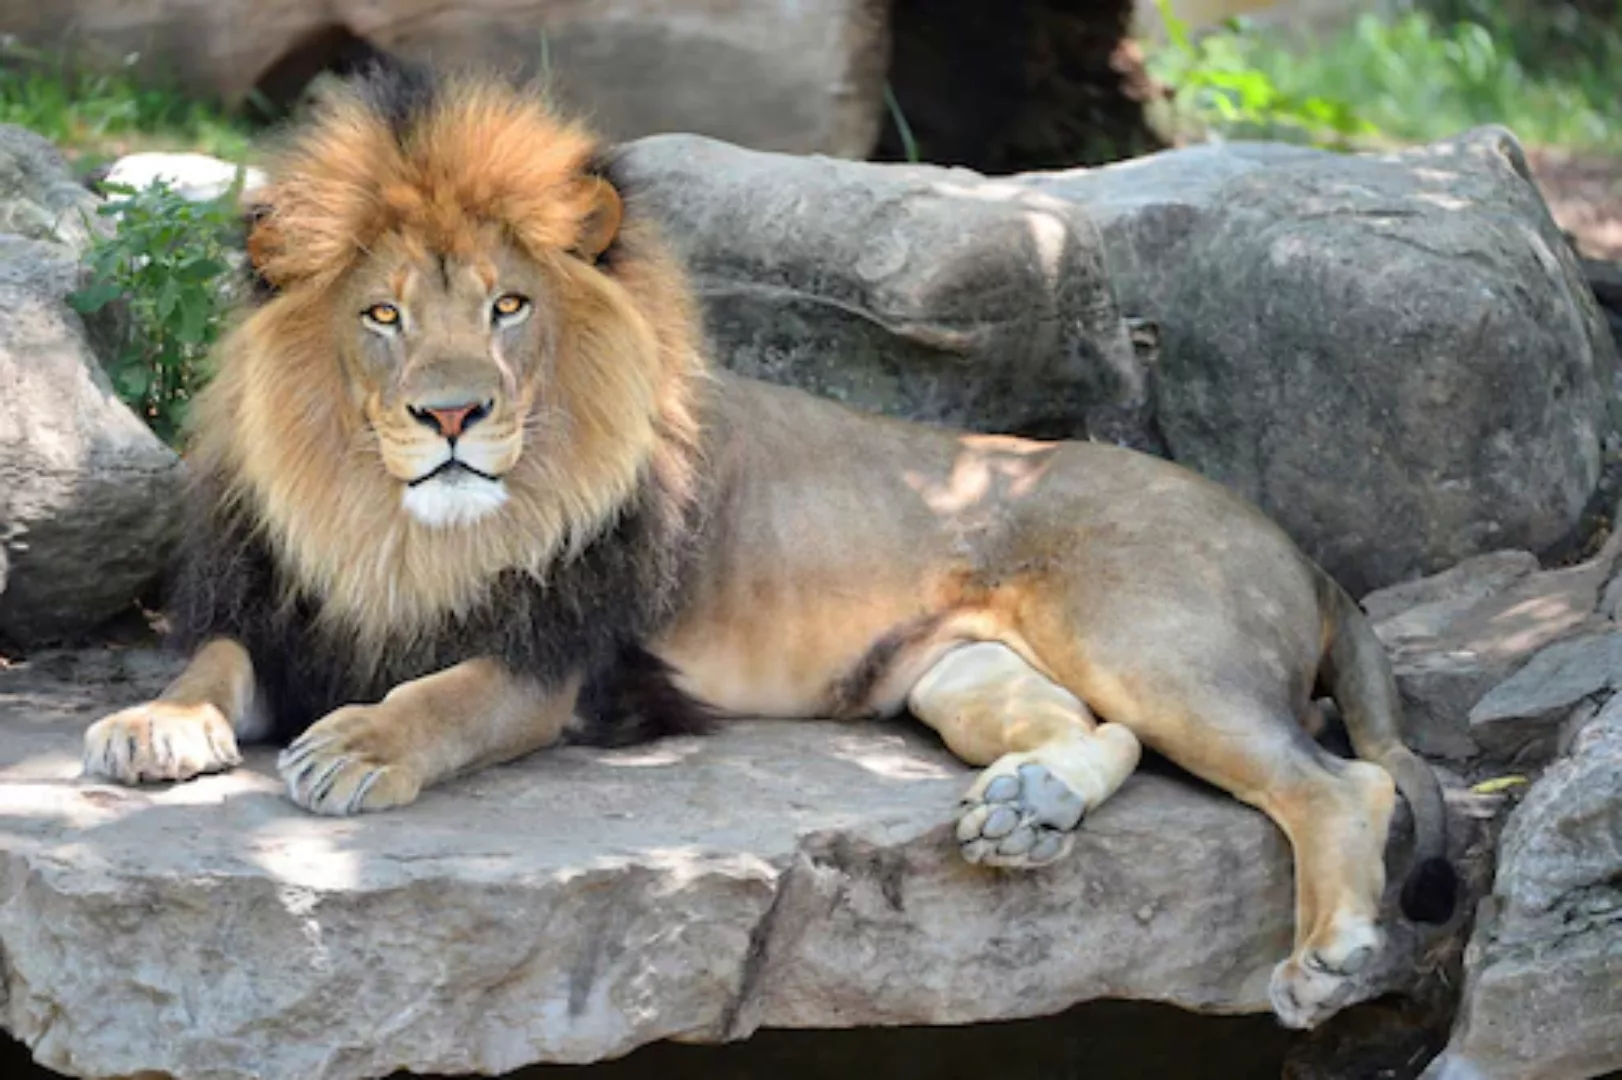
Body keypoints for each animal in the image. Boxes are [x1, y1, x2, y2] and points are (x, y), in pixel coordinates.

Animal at [82, 60, 1459, 1024]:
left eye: (508, 306)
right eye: (381, 317)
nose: (453, 414)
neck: (392, 533)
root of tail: (1292, 543)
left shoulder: (568, 664)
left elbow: (449, 693)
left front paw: (358, 746)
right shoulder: (280, 611)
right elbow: (211, 661)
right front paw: (152, 725)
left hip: (1150, 639)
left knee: (1338, 781)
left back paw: (1329, 956)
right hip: (958, 673)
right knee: (1090, 729)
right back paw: (1023, 810)